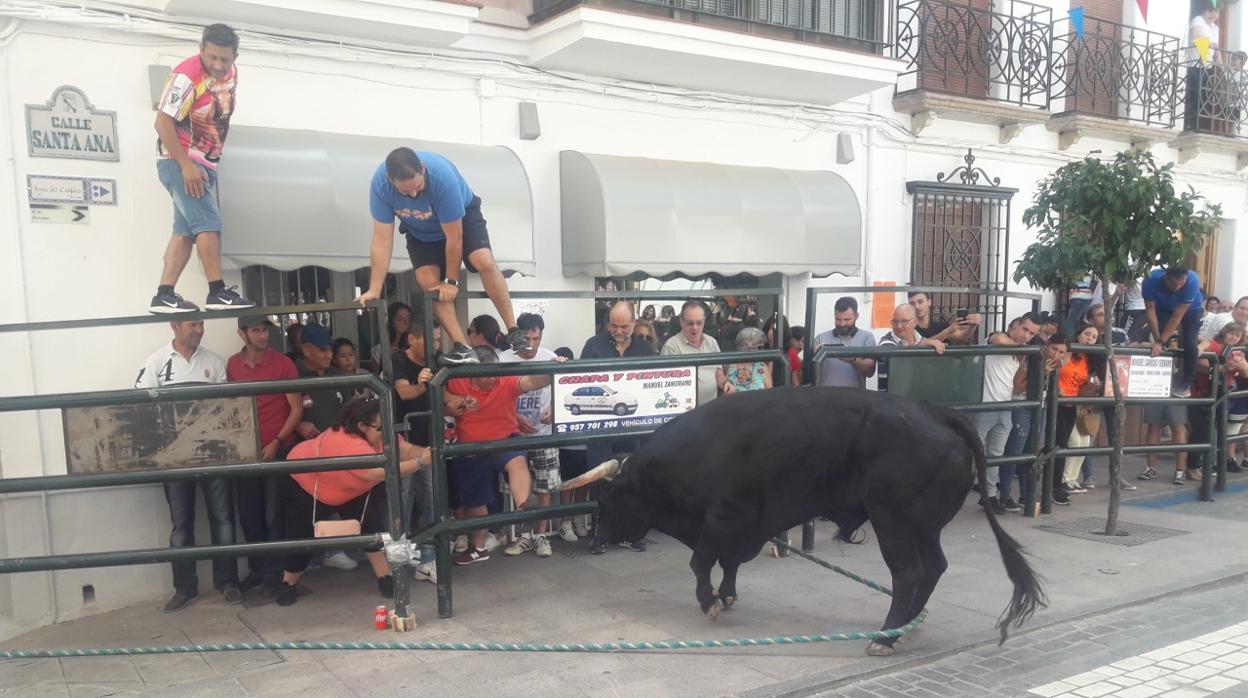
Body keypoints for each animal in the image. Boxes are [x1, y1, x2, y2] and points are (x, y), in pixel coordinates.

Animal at [571, 387, 1048, 654]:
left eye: (607, 499)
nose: (600, 537)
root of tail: (936, 413)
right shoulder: (740, 529)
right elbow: (729, 563)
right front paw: (727, 595)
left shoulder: (722, 518)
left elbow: (702, 561)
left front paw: (710, 601)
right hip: (924, 528)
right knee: (934, 568)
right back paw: (904, 627)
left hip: (893, 522)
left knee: (909, 574)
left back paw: (884, 637)